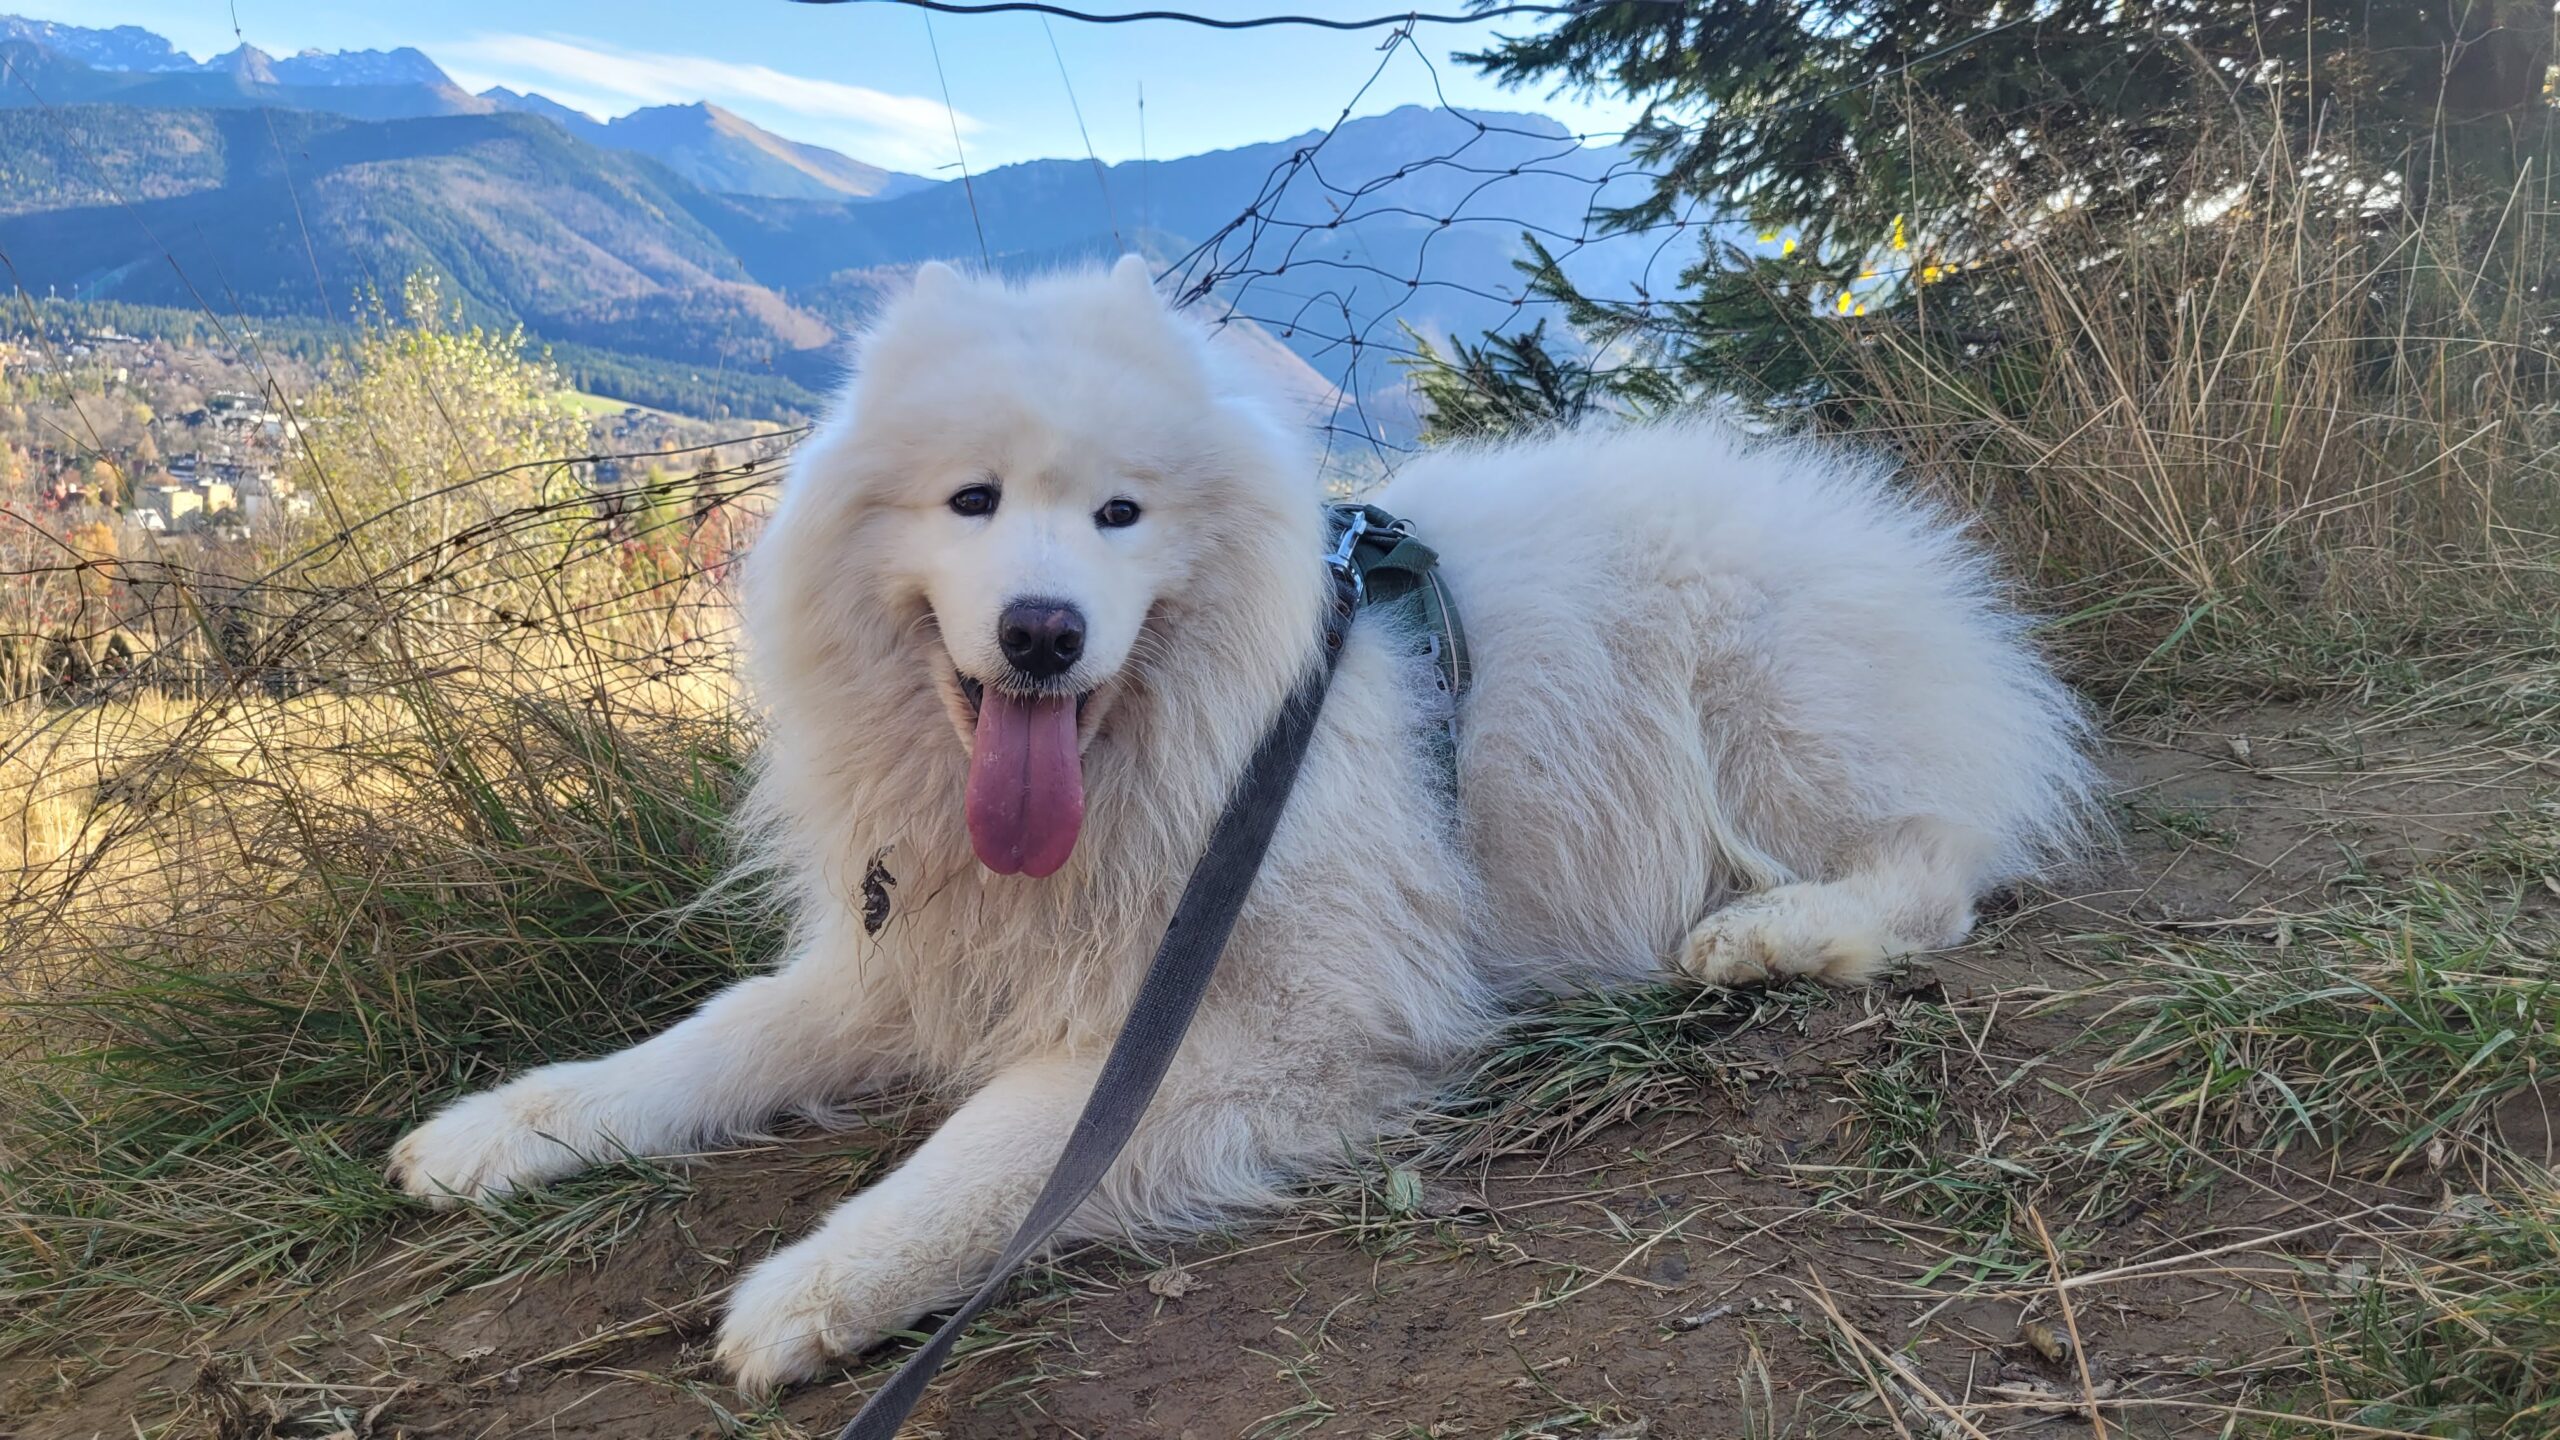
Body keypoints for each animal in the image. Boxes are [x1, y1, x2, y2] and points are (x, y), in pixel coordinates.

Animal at [384, 254, 2099, 1383]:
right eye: (972, 502)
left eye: (1120, 514)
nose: (1044, 634)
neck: (1166, 758)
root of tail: (1917, 559)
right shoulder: (917, 956)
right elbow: (701, 1048)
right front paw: (496, 1134)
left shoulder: (1279, 1014)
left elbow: (995, 1150)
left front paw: (815, 1285)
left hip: (1758, 706)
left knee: (1937, 862)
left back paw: (1773, 935)